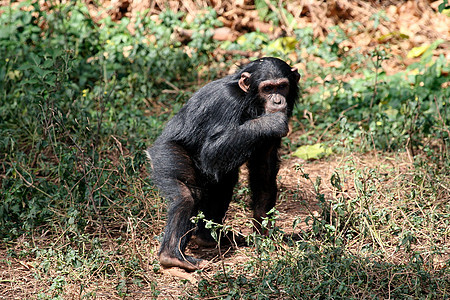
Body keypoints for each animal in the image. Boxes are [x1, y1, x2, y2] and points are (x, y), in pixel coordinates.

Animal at [148, 57, 300, 270]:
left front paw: (265, 235)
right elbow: (210, 150)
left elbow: (263, 170)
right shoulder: (228, 102)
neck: (250, 101)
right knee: (187, 196)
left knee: (224, 182)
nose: (277, 100)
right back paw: (173, 256)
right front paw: (270, 121)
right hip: (165, 154)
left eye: (282, 86)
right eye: (268, 88)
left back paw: (207, 237)